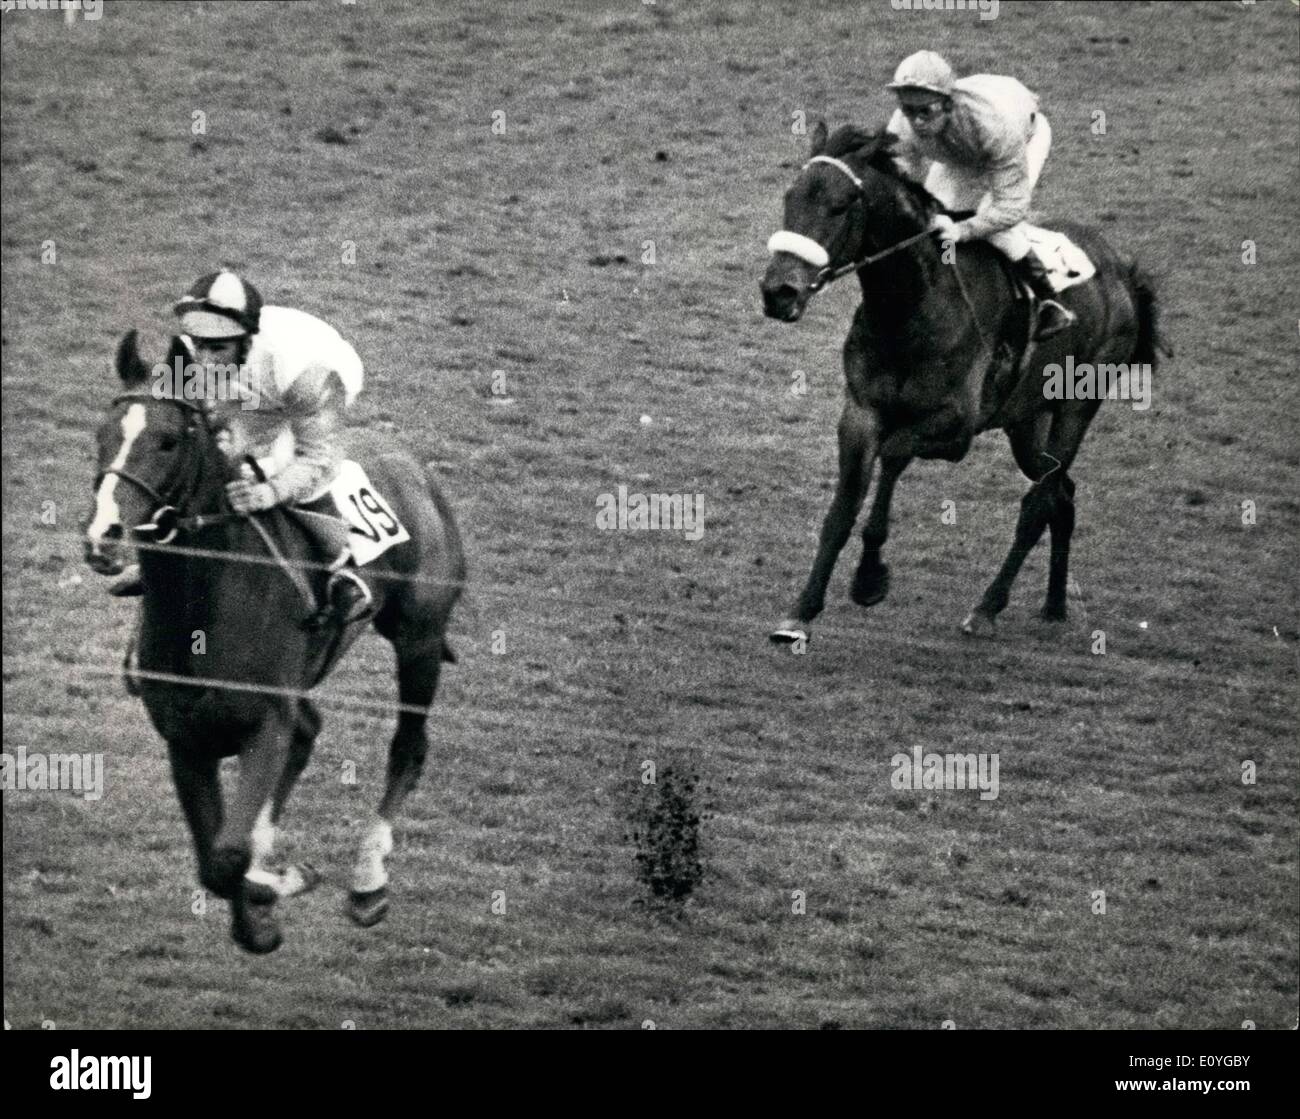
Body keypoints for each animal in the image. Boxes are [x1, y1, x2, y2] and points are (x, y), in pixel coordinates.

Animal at [83, 331, 467, 951]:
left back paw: (368, 881)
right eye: (103, 435)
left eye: (167, 441)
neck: (206, 607)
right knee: (310, 731)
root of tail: (415, 465)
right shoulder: (185, 738)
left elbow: (228, 856)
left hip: (420, 640)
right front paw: (261, 907)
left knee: (407, 749)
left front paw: (276, 882)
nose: (104, 536)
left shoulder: (266, 722)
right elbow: (215, 865)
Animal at [759, 120, 1164, 647]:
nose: (778, 293)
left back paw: (987, 608)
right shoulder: (860, 414)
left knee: (1039, 502)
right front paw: (800, 612)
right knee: (1063, 494)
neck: (909, 308)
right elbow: (842, 510)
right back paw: (1054, 605)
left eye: (841, 204)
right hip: (1026, 422)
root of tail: (1123, 272)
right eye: (792, 196)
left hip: (1077, 407)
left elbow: (892, 457)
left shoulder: (954, 429)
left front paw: (869, 579)